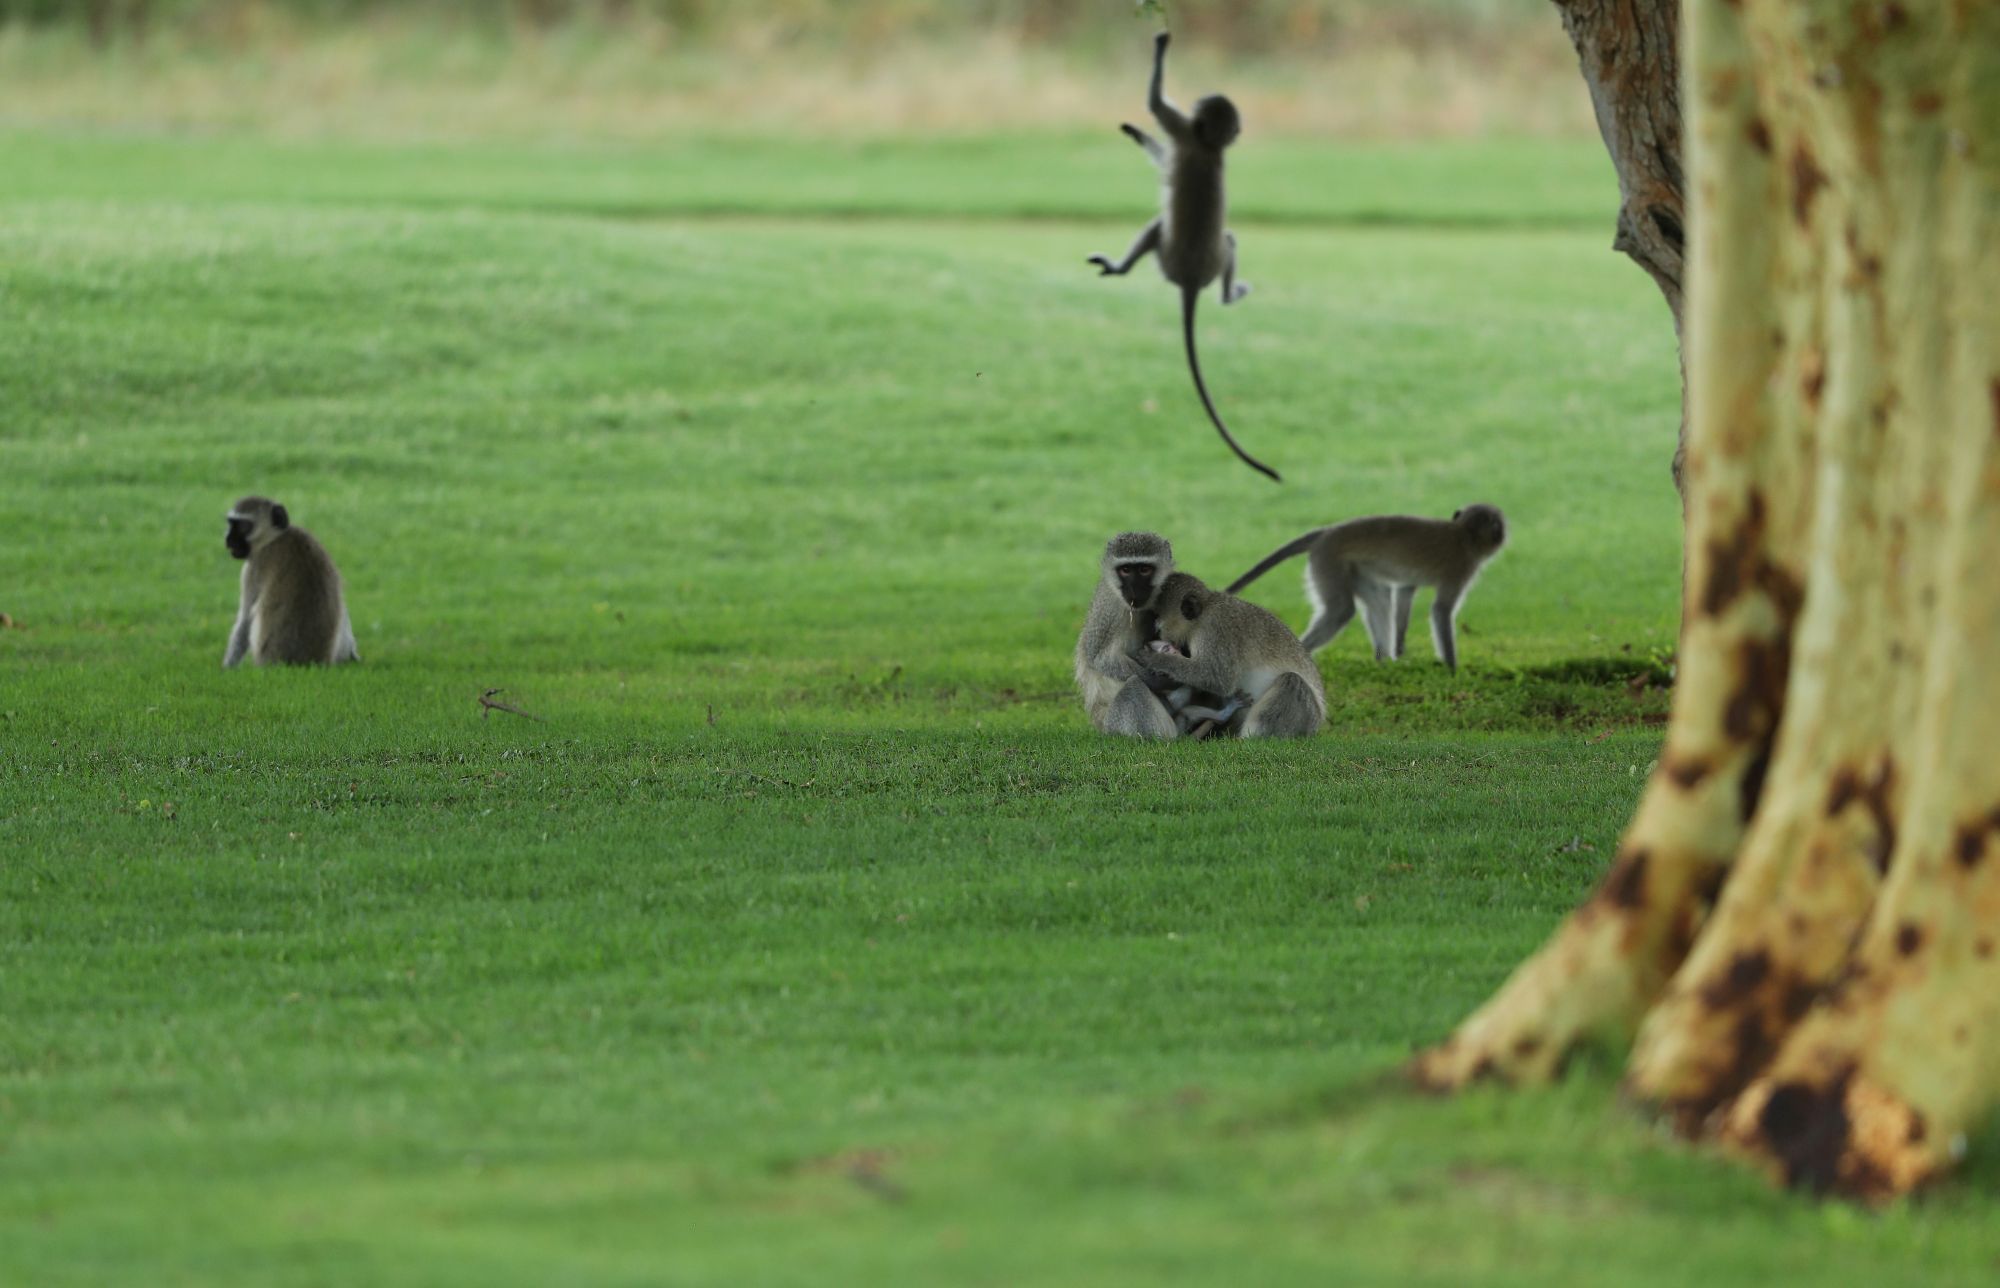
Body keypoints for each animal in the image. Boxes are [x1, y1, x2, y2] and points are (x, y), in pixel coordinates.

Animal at [227, 496, 364, 668]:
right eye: (231, 524)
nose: (228, 540)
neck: (274, 538)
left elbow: (244, 623)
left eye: (243, 526)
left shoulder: (254, 567)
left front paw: (227, 669)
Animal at [1088, 30, 1272, 484]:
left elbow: (1158, 111)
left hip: (1167, 254)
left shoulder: (1184, 132)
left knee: (1168, 230)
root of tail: (1189, 279)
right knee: (1228, 241)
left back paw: (1123, 269)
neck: (1209, 145)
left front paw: (1160, 50)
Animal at [1136, 572, 1320, 740]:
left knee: (1292, 681)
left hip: (1307, 719)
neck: (1204, 612)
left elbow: (1219, 678)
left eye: (1156, 617)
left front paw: (1156, 660)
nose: (1154, 632)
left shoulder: (1215, 629)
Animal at [1224, 504, 1504, 668]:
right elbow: (1441, 611)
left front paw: (1400, 649)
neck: (1464, 534)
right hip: (1329, 561)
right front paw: (1452, 667)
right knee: (1341, 610)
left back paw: (1384, 662)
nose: (1503, 531)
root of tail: (1327, 532)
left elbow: (1405, 590)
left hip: (1352, 567)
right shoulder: (1460, 568)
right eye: (1497, 523)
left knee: (1380, 599)